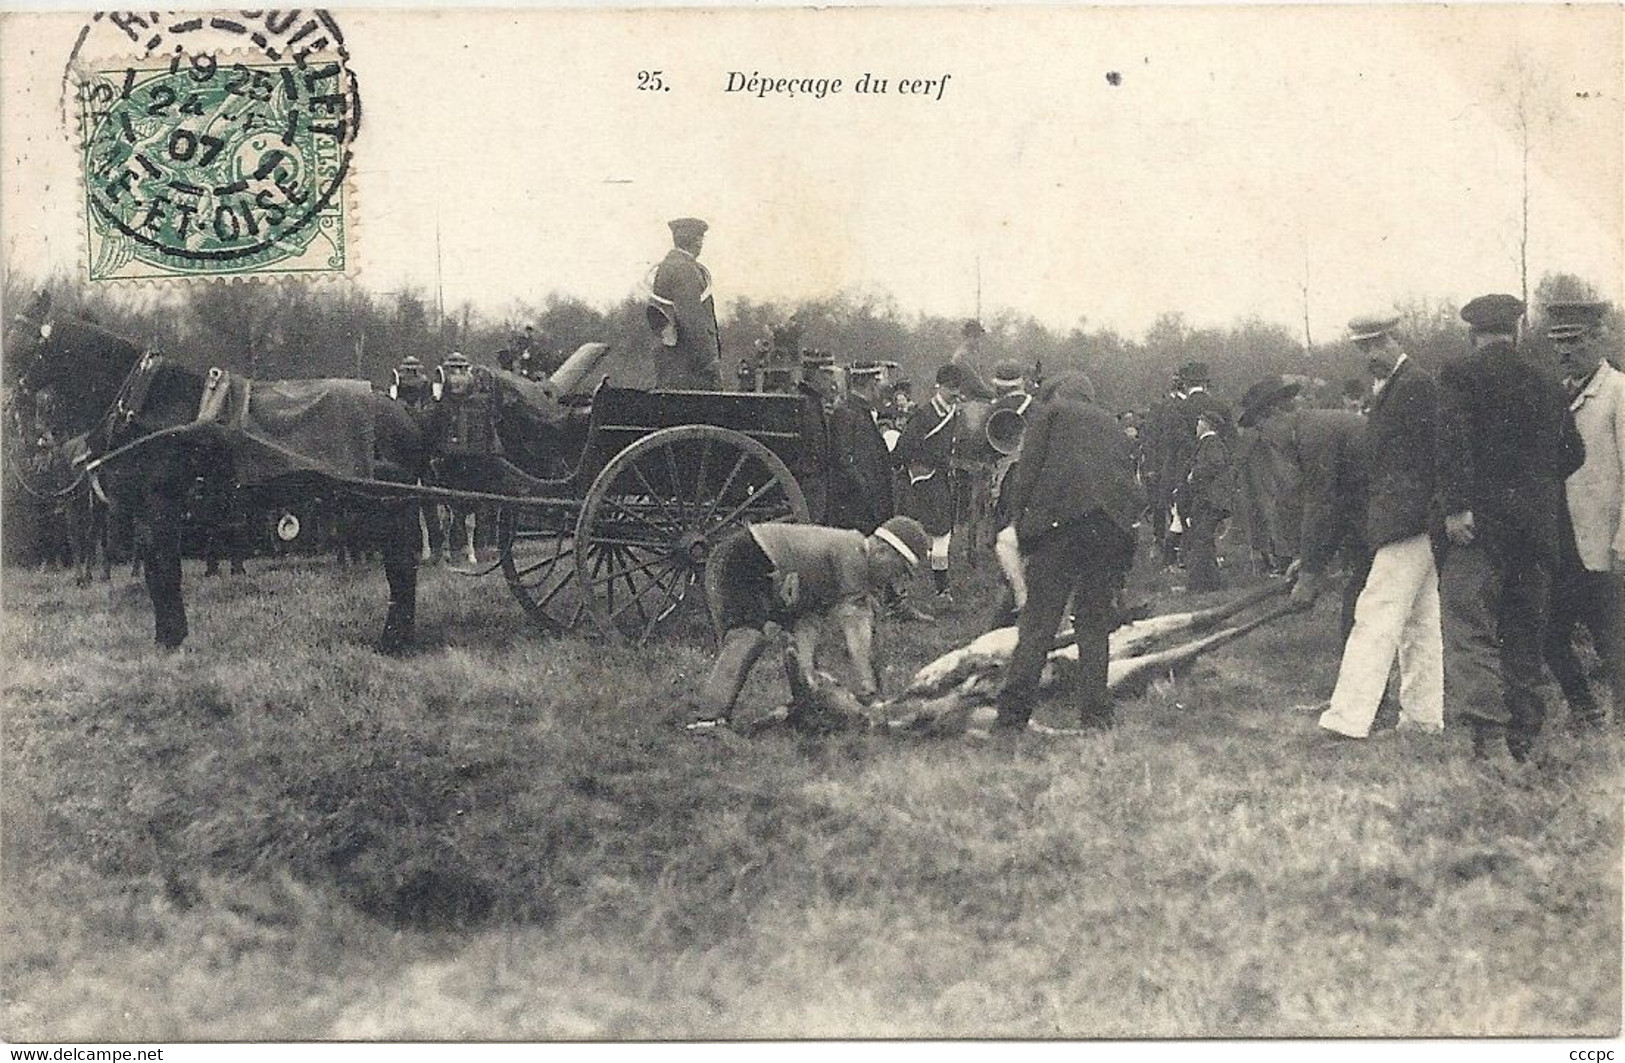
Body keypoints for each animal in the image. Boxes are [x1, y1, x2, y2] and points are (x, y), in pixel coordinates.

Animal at [9, 312, 429, 653]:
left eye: (21, 350)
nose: (24, 428)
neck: (149, 407)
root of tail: (403, 415)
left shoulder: (161, 505)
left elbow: (164, 569)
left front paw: (170, 639)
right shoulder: (147, 511)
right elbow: (154, 570)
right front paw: (168, 635)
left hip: (390, 505)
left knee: (400, 564)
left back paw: (394, 640)